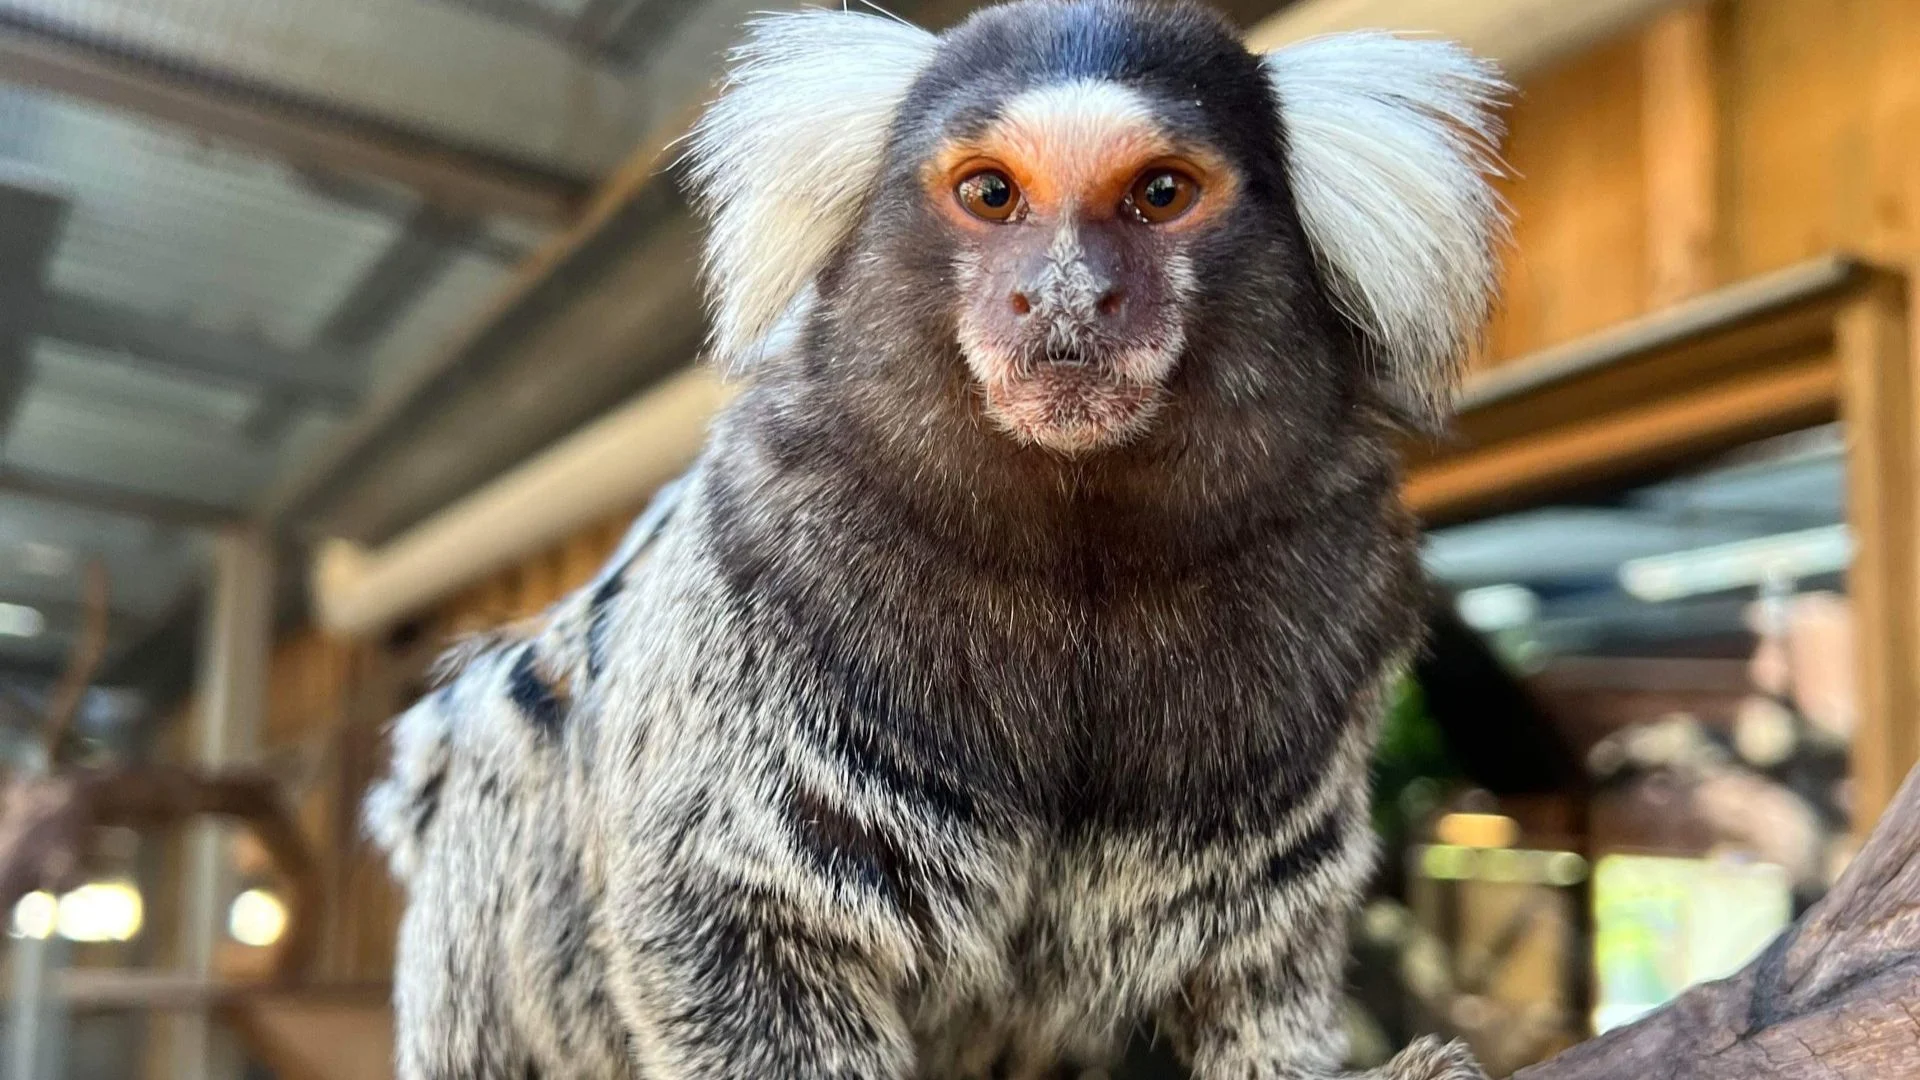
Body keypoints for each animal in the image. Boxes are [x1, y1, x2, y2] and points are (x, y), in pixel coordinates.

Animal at [362, 2, 1510, 1077]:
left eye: (1161, 193)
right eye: (992, 194)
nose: (1065, 295)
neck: (1079, 554)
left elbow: (1262, 950)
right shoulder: (756, 580)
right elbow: (721, 916)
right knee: (514, 708)